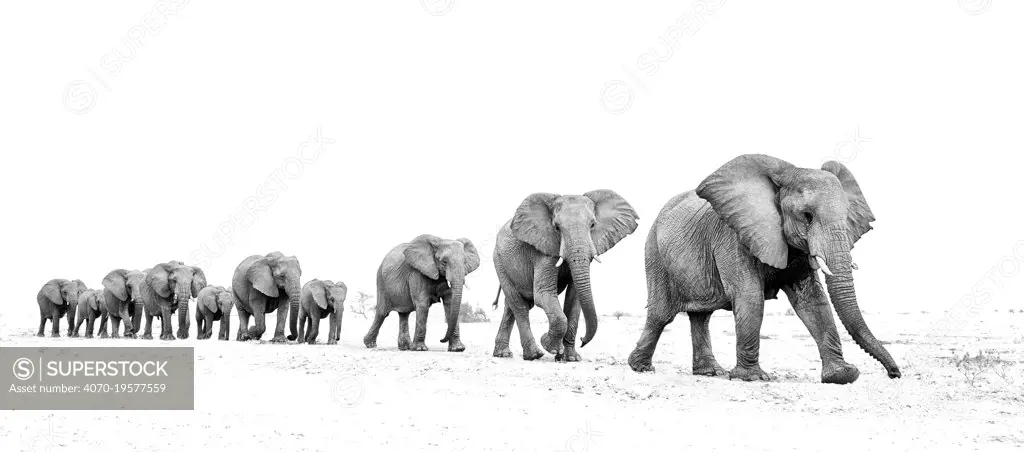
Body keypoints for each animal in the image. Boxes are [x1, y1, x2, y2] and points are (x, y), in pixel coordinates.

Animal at [489, 189, 638, 358]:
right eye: (557, 227)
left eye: (592, 225)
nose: (582, 340)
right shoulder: (544, 250)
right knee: (520, 305)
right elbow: (543, 293)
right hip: (499, 261)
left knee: (511, 306)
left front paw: (570, 357)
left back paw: (503, 354)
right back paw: (534, 355)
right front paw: (550, 346)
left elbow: (574, 298)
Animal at [626, 153, 901, 381]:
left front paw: (842, 375)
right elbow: (750, 296)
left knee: (701, 315)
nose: (894, 373)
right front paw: (753, 378)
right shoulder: (734, 236)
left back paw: (710, 372)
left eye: (847, 217)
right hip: (654, 254)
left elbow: (813, 300)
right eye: (807, 216)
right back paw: (640, 367)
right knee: (661, 315)